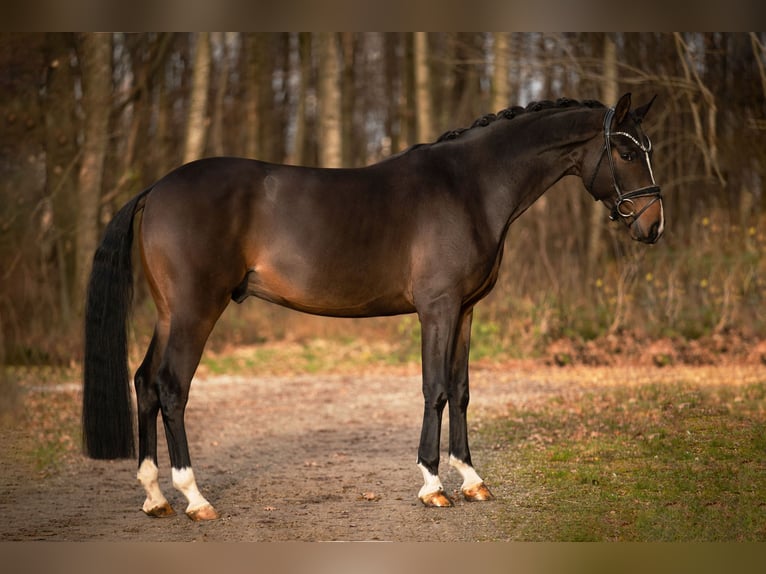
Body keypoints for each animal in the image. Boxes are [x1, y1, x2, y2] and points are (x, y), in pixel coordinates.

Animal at [82, 93, 664, 520]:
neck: (470, 187)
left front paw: (472, 479)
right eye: (627, 153)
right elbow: (435, 390)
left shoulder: (466, 310)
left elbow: (461, 390)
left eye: (648, 148)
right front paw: (432, 484)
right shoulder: (437, 308)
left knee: (143, 382)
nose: (653, 226)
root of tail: (156, 188)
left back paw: (154, 496)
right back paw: (194, 498)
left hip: (168, 313)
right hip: (195, 310)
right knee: (171, 388)